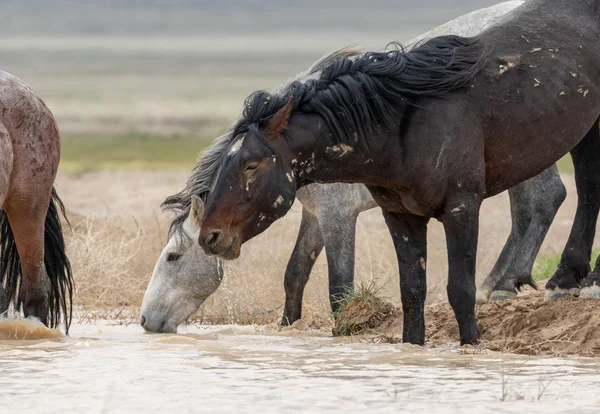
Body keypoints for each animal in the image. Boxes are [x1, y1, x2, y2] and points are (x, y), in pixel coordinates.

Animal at [141, 0, 568, 334]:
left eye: (172, 257)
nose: (145, 320)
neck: (302, 143)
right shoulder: (315, 216)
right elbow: (295, 273)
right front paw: (288, 326)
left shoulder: (337, 215)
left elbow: (339, 287)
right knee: (530, 207)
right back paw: (501, 282)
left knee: (546, 199)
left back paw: (502, 285)